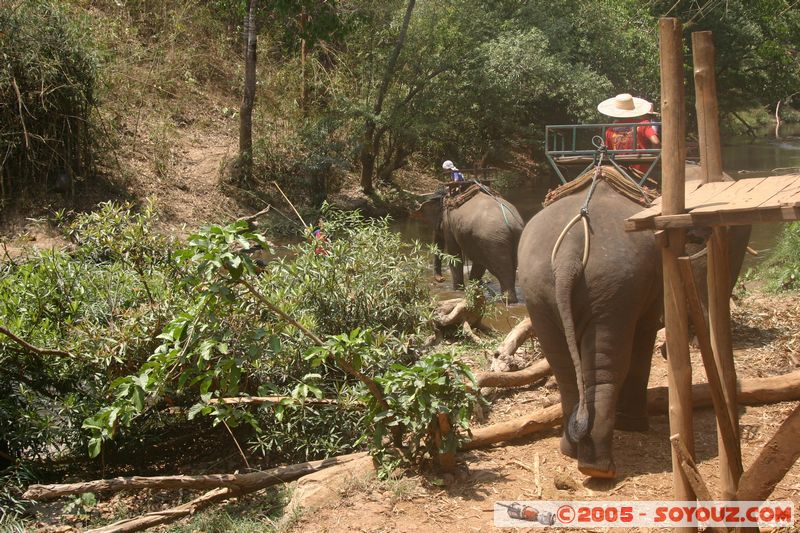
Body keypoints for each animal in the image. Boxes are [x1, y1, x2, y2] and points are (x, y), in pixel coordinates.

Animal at [517, 163, 749, 478]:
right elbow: (644, 335)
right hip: (612, 288)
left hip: (543, 292)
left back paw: (572, 452)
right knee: (607, 366)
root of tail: (567, 258)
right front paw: (635, 426)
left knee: (564, 366)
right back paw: (599, 467)